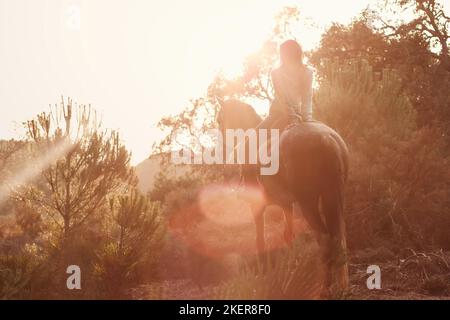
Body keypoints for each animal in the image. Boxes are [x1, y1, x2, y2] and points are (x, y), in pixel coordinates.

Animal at [216, 99, 350, 294]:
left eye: (219, 120)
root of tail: (327, 139)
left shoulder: (257, 208)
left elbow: (260, 241)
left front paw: (264, 276)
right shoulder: (287, 205)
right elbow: (288, 236)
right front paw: (291, 271)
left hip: (308, 203)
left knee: (325, 240)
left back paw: (325, 289)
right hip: (334, 196)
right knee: (339, 239)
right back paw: (342, 286)